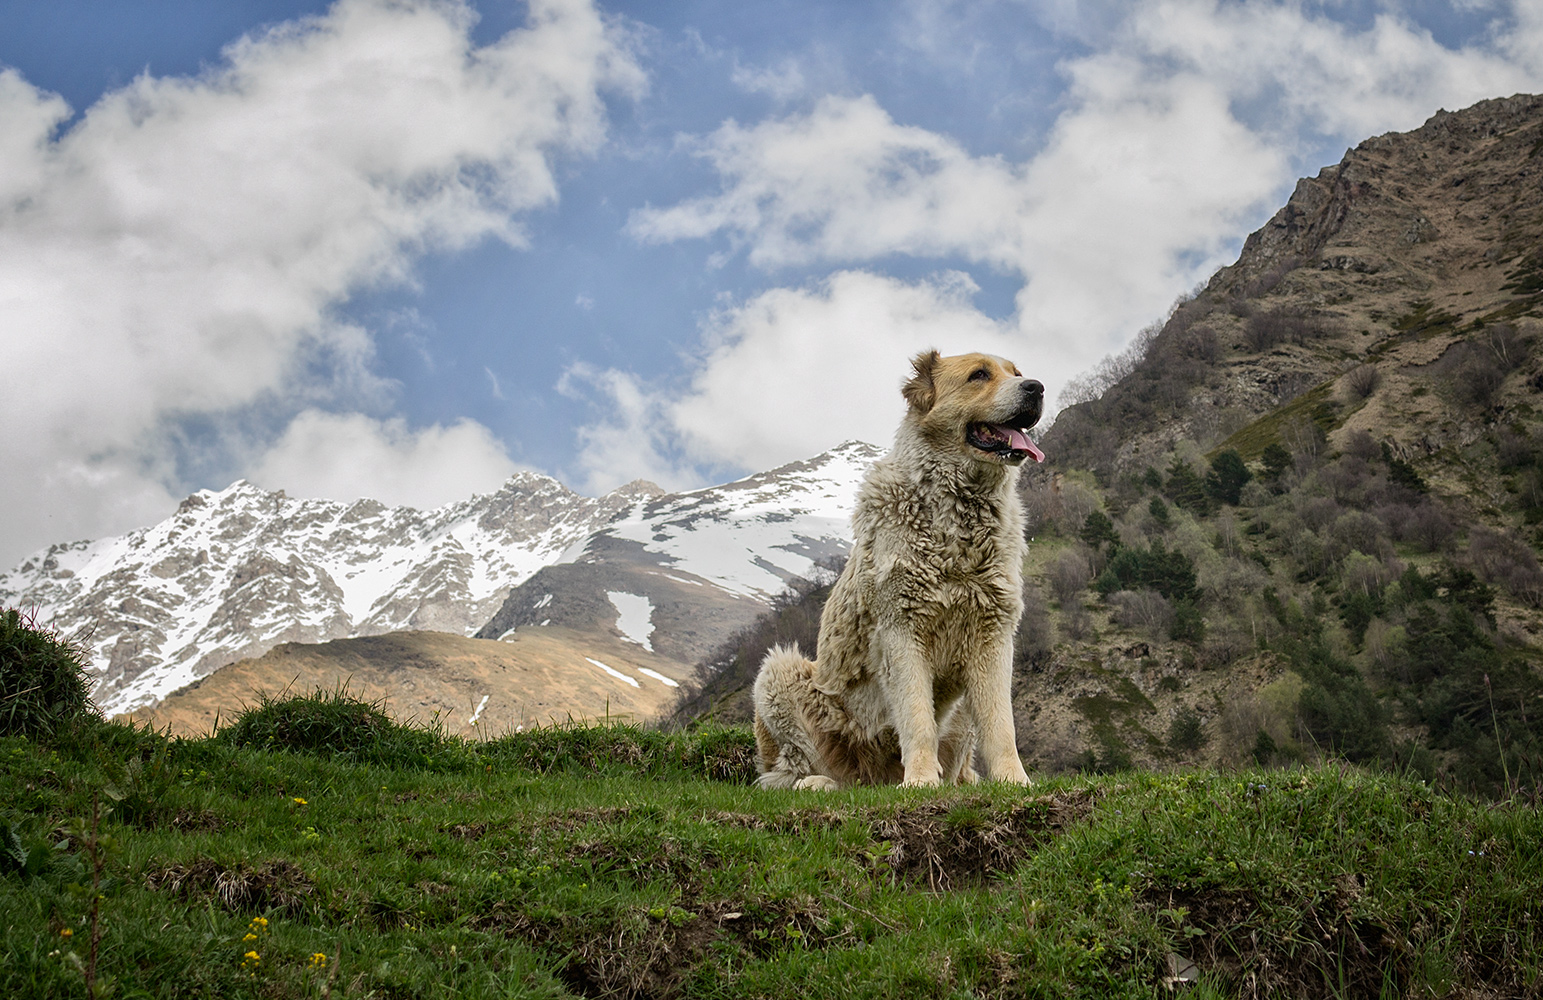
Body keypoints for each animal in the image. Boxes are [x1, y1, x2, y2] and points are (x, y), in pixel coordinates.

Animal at [749, 351, 1043, 790]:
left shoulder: (992, 634)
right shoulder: (901, 629)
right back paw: (819, 782)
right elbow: (917, 717)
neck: (957, 517)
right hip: (778, 674)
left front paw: (1014, 781)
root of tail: (877, 779)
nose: (1036, 388)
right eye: (979, 375)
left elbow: (1000, 724)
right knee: (793, 771)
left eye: (1017, 373)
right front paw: (920, 780)